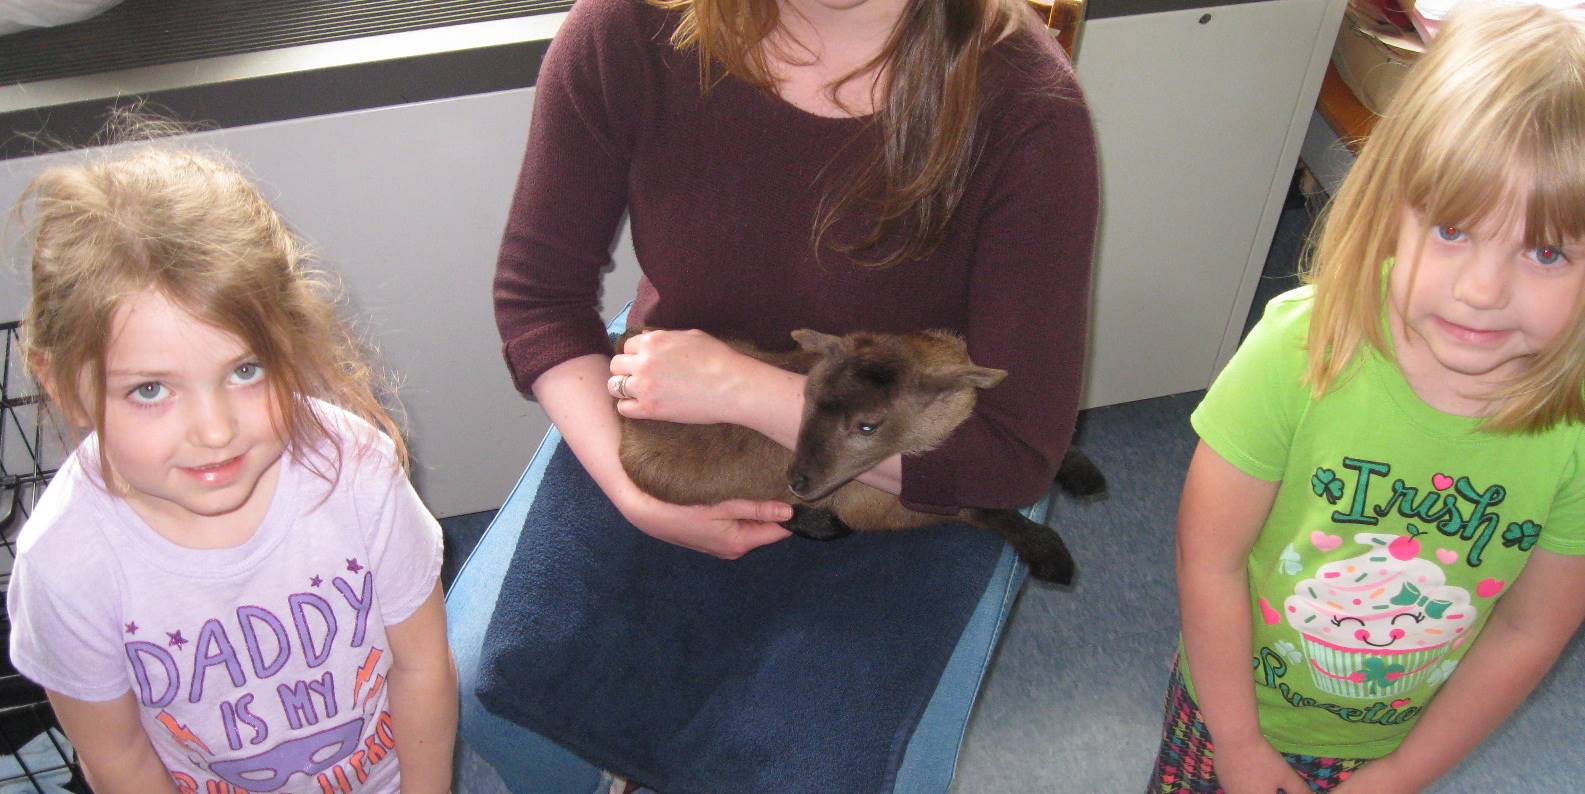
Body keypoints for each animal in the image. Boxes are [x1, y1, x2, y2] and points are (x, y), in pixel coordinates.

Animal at [614, 326, 1090, 583]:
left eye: (867, 425)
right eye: (805, 398)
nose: (797, 482)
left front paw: (1080, 470)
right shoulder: (884, 506)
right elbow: (980, 509)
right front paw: (1048, 553)